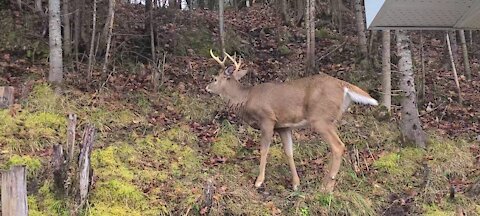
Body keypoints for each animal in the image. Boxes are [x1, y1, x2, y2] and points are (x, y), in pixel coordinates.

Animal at [206, 49, 378, 192]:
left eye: (214, 78)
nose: (206, 87)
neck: (245, 98)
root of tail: (343, 86)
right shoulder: (283, 126)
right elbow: (289, 152)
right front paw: (296, 183)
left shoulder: (267, 119)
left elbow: (264, 150)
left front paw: (259, 181)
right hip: (330, 120)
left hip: (320, 119)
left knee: (338, 146)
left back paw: (327, 186)